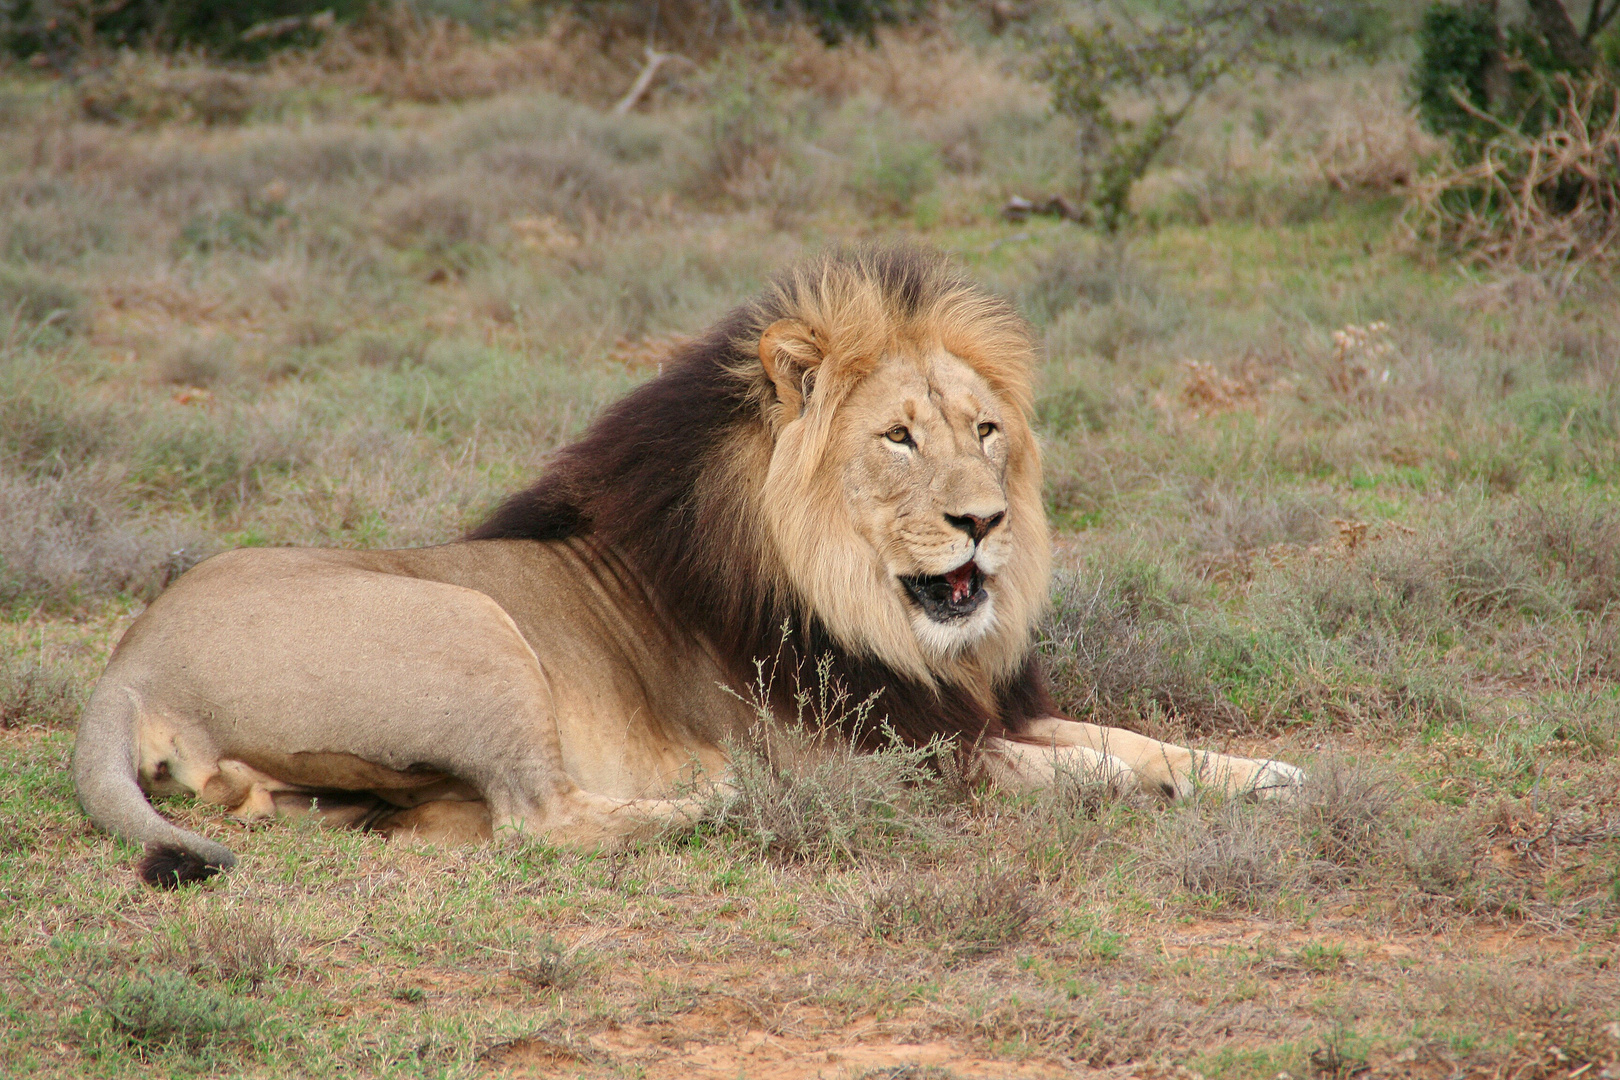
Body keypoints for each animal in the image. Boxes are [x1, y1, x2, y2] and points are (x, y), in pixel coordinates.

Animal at [72, 250, 1302, 887]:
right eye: (900, 439)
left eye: (985, 430)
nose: (985, 522)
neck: (874, 618)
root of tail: (130, 657)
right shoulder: (871, 760)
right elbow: (1073, 769)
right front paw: (1161, 786)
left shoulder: (965, 707)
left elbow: (1125, 737)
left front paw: (1265, 774)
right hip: (474, 628)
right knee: (540, 820)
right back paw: (704, 803)